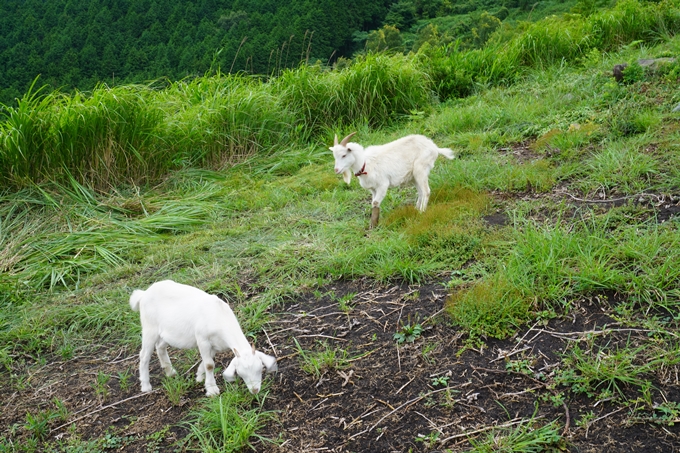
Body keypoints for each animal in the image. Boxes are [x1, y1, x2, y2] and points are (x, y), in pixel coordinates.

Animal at [127, 278, 276, 396]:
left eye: (260, 369)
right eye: (240, 373)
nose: (255, 391)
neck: (219, 315)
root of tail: (144, 294)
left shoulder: (215, 345)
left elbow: (206, 362)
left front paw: (199, 376)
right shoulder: (202, 339)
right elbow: (210, 364)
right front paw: (212, 389)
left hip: (165, 333)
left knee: (160, 347)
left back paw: (170, 372)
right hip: (149, 328)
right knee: (144, 355)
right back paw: (146, 386)